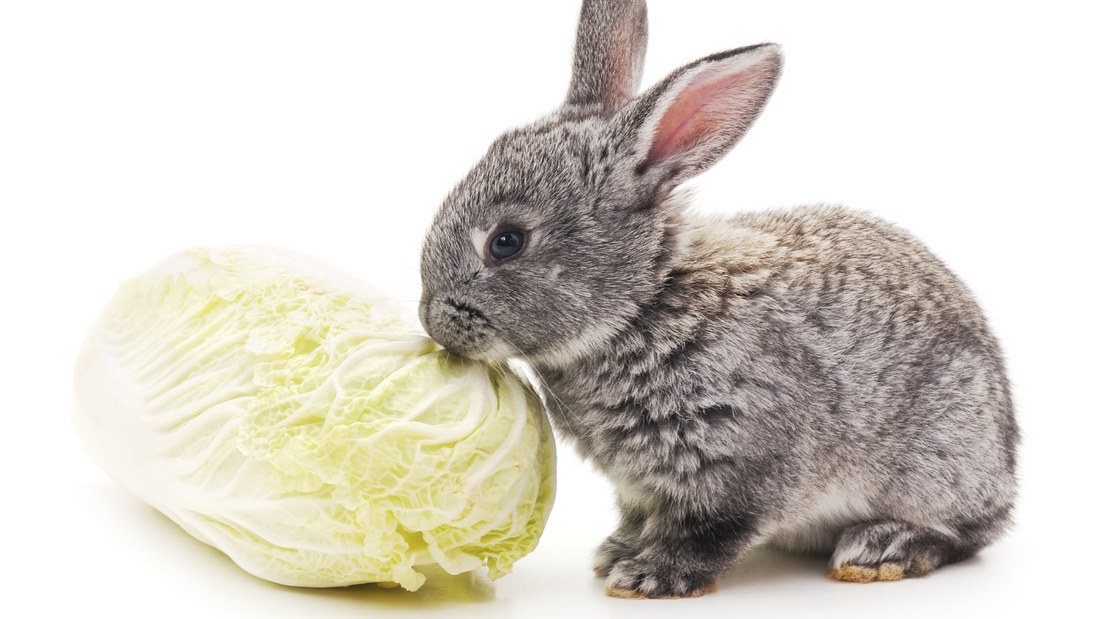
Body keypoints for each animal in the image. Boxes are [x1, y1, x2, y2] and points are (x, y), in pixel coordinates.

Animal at [418, 0, 1018, 600]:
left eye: (506, 241)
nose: (433, 320)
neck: (646, 302)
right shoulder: (643, 488)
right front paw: (615, 554)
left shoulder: (741, 457)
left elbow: (712, 529)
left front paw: (649, 576)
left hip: (937, 462)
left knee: (964, 533)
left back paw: (883, 548)